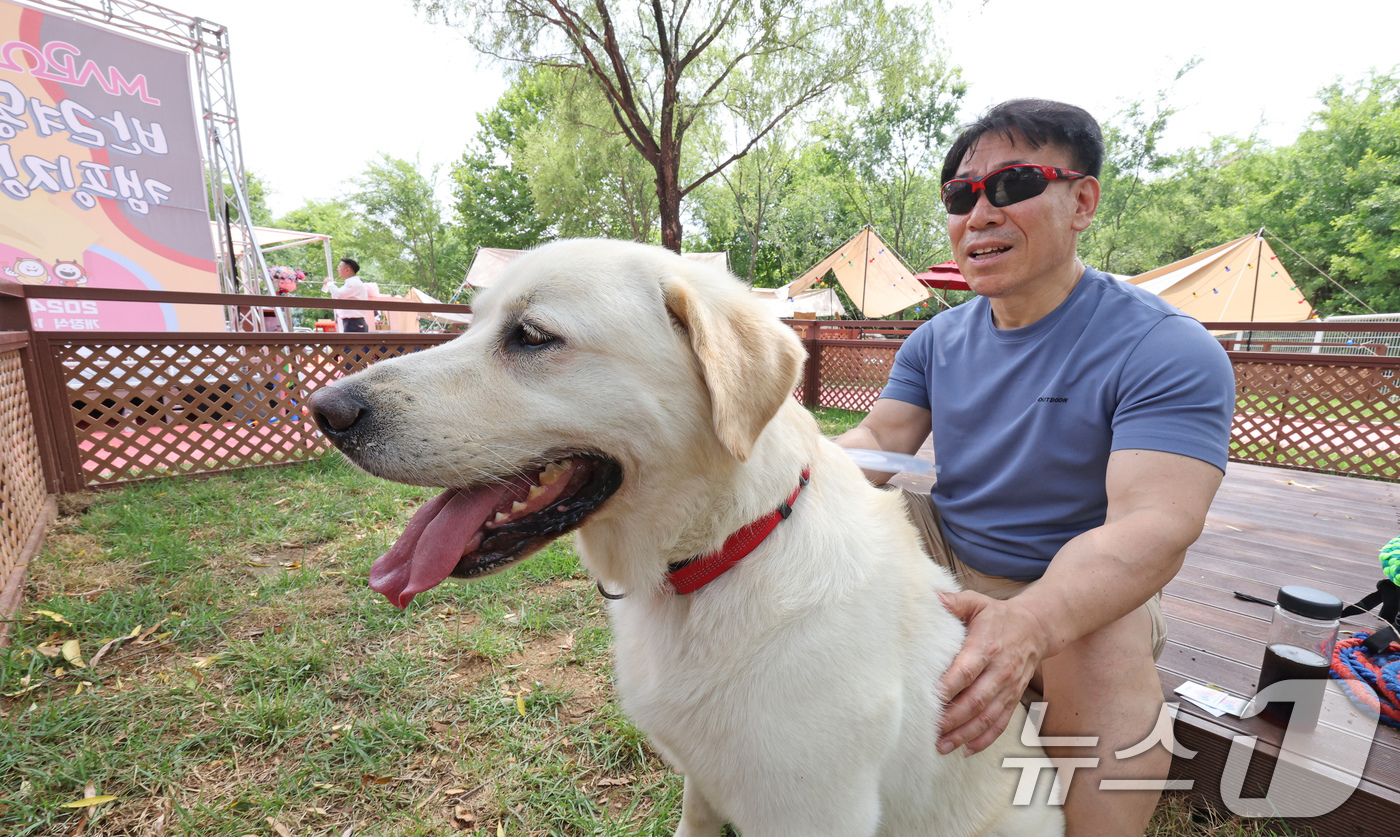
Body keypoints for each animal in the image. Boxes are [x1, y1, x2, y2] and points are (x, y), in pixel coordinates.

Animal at [309, 239, 1058, 834]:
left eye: (532, 335)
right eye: (476, 321)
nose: (325, 409)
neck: (720, 555)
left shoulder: (813, 813)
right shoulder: (703, 775)